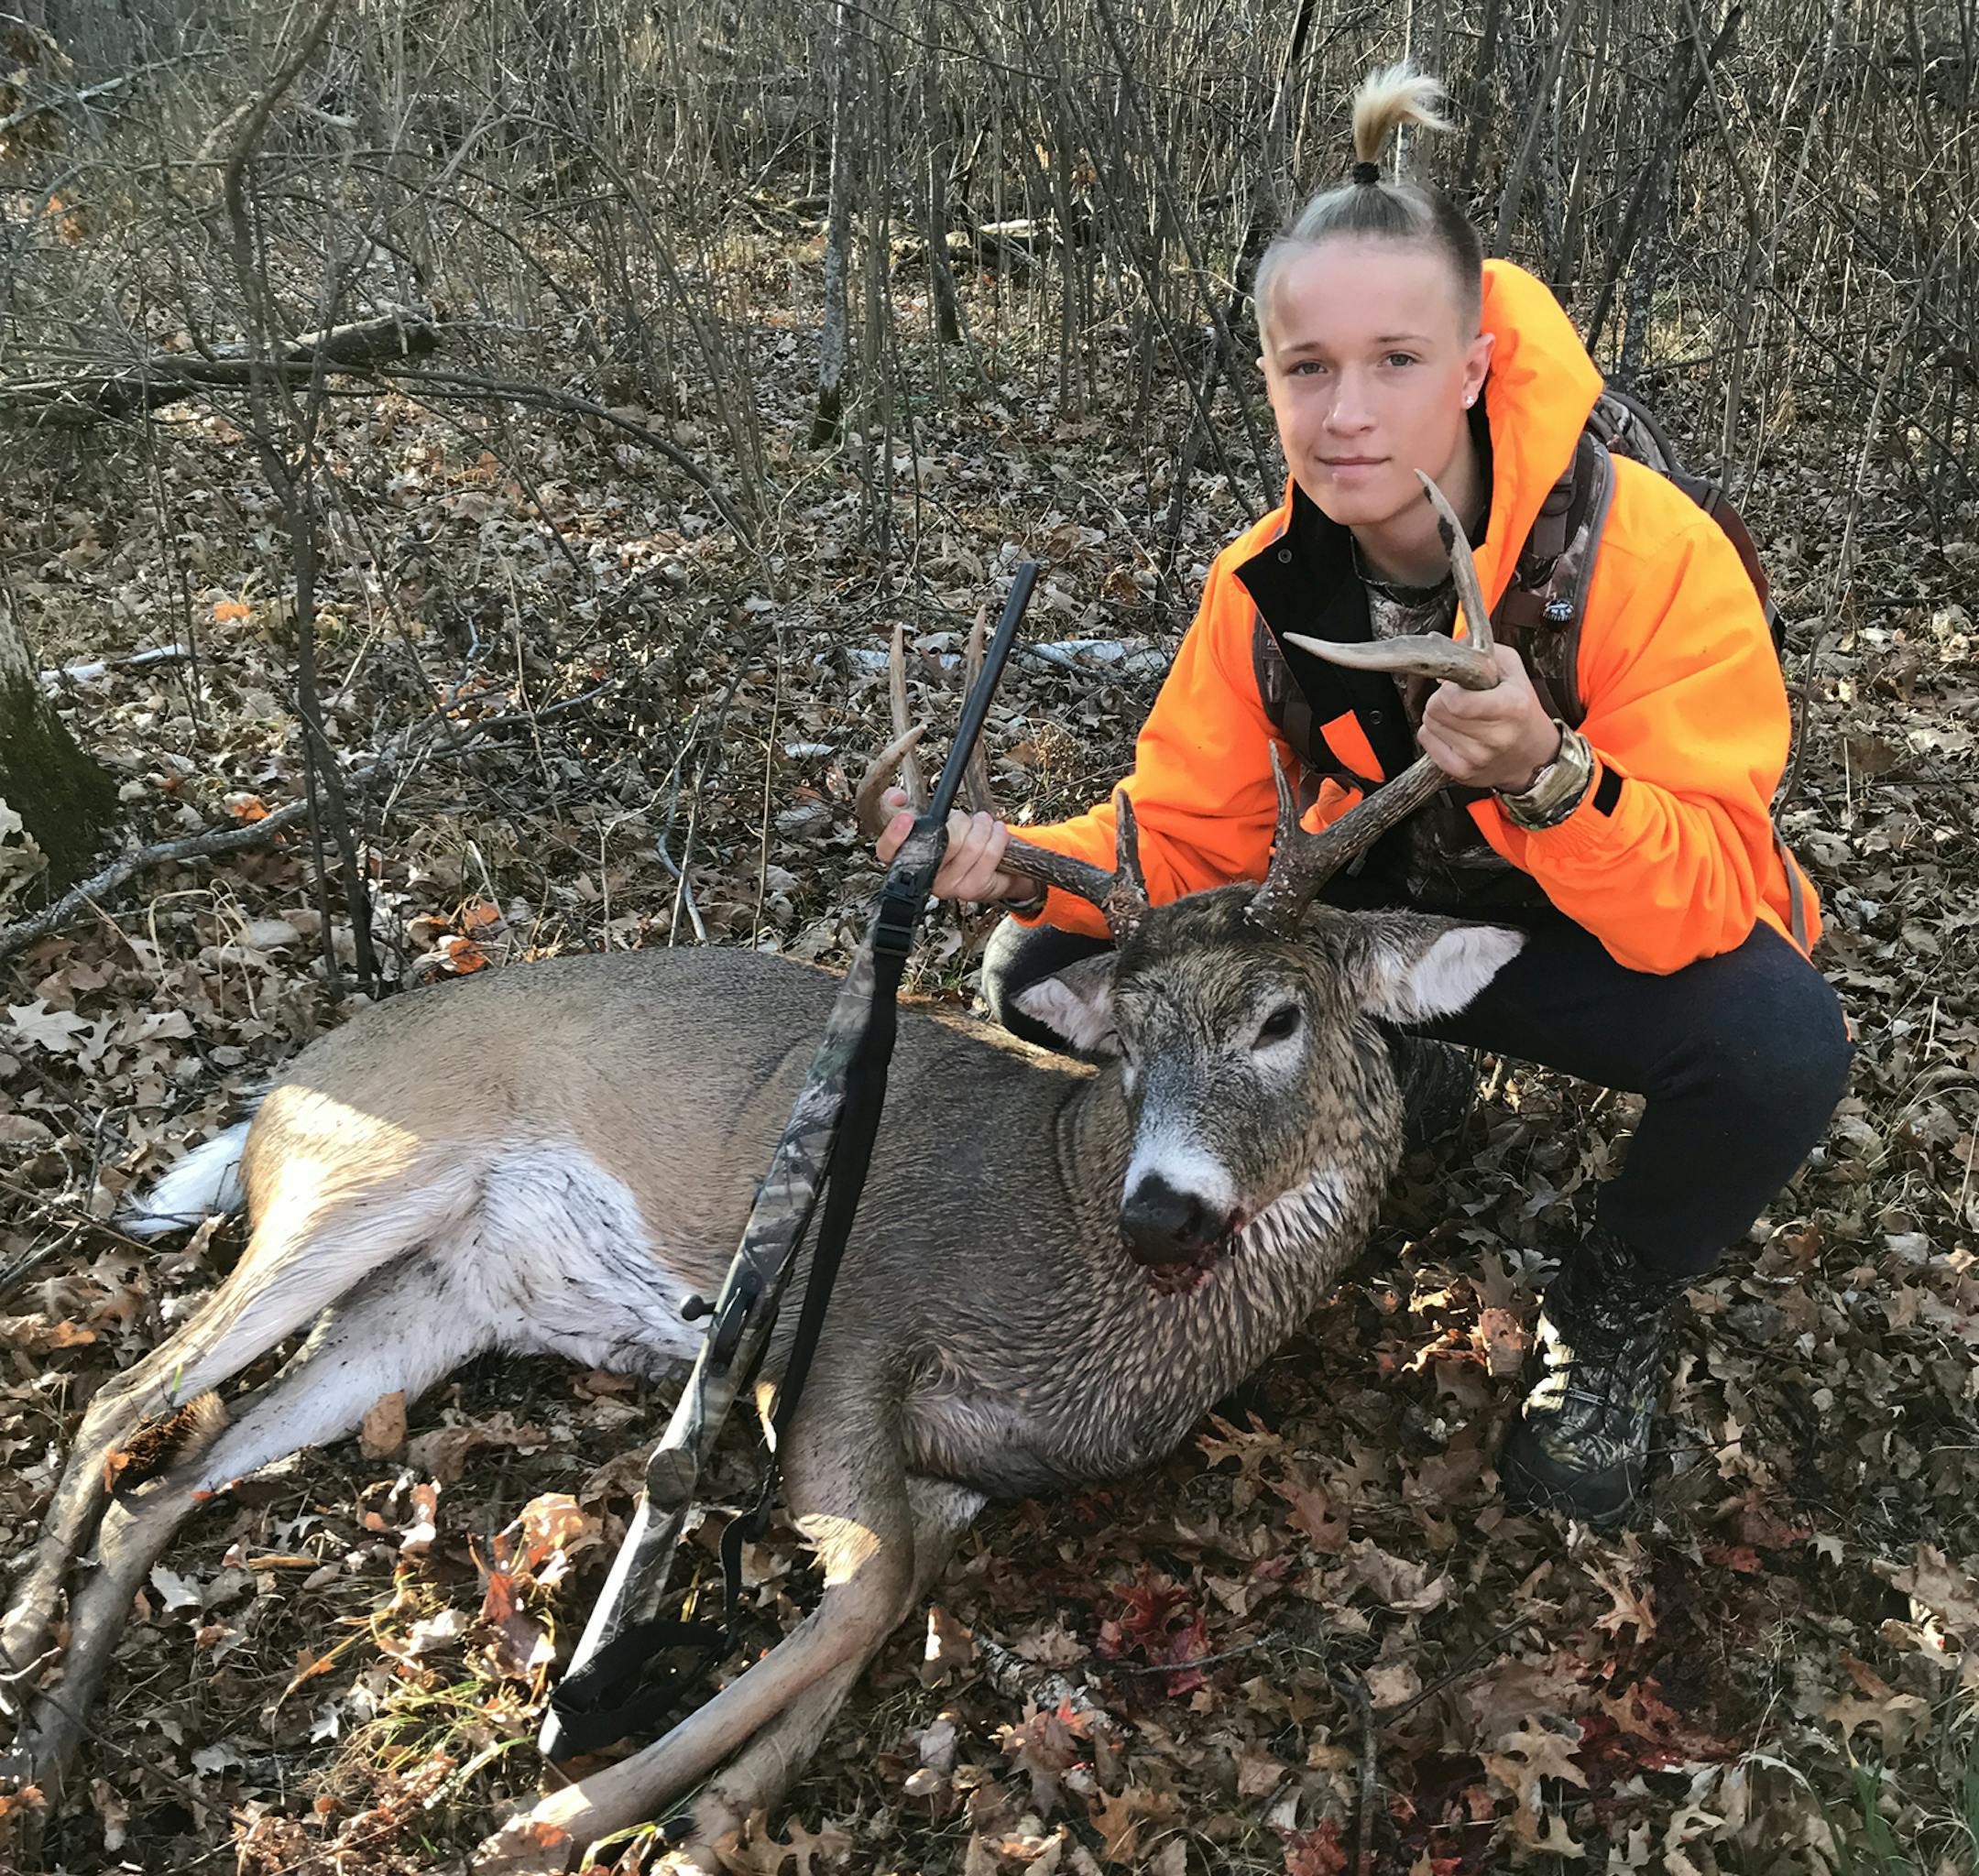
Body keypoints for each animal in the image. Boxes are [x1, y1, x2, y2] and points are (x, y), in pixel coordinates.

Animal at [0, 483, 1509, 1872]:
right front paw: (563, 1812)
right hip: (366, 1178)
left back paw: (55, 1746)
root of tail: (279, 1084)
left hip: (424, 1307)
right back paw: (22, 1646)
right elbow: (866, 1589)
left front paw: (709, 1813)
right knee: (123, 1397)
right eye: (1127, 1044)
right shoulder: (848, 1339)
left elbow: (882, 1599)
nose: (1162, 1209)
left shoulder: (962, 1476)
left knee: (167, 1482)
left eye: (1279, 1016)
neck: (1081, 1269)